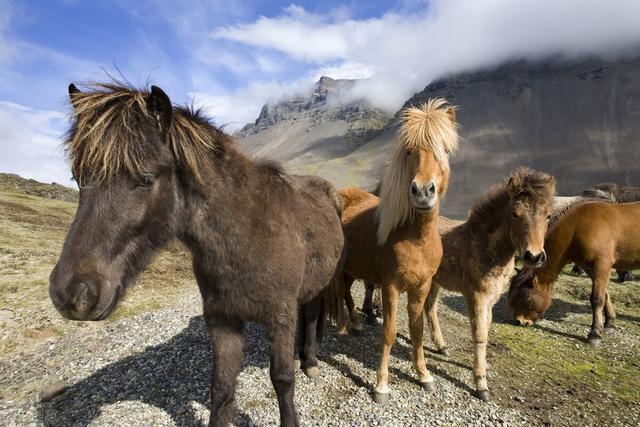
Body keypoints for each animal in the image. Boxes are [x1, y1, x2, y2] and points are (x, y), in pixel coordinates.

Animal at [50, 82, 348, 426]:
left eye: (146, 179)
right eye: (78, 178)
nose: (71, 294)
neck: (246, 233)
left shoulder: (279, 318)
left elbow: (283, 379)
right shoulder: (222, 320)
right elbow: (222, 386)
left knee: (311, 316)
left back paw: (309, 359)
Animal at [328, 98, 458, 404]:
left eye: (445, 151)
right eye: (410, 151)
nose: (422, 191)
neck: (414, 237)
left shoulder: (421, 287)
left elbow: (417, 330)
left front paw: (424, 375)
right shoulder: (390, 287)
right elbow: (388, 332)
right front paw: (381, 384)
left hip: (354, 268)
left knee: (347, 293)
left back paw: (356, 324)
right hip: (343, 270)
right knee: (341, 293)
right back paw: (345, 326)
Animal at [504, 201, 640, 344]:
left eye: (525, 298)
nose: (519, 321)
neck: (578, 227)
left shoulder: (602, 264)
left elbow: (597, 298)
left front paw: (595, 333)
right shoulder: (590, 268)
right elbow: (605, 294)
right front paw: (609, 322)